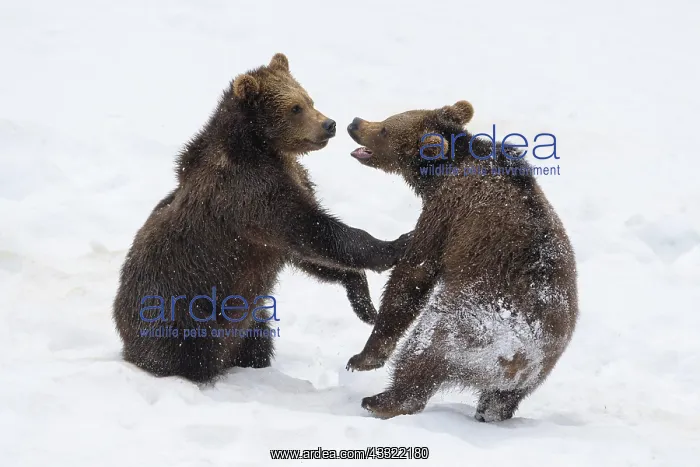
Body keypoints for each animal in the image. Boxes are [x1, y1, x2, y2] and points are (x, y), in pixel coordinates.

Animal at [113, 53, 409, 383]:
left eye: (309, 99)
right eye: (295, 107)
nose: (329, 124)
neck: (264, 149)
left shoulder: (288, 190)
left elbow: (308, 254)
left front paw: (364, 303)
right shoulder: (251, 195)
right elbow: (314, 230)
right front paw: (397, 244)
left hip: (250, 318)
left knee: (257, 339)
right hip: (180, 309)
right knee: (189, 352)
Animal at [344, 101, 578, 422]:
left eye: (384, 129)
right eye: (388, 118)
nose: (354, 123)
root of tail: (522, 359)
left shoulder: (447, 210)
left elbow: (414, 273)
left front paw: (363, 357)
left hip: (467, 328)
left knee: (423, 350)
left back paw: (382, 400)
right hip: (534, 373)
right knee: (500, 399)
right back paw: (487, 413)